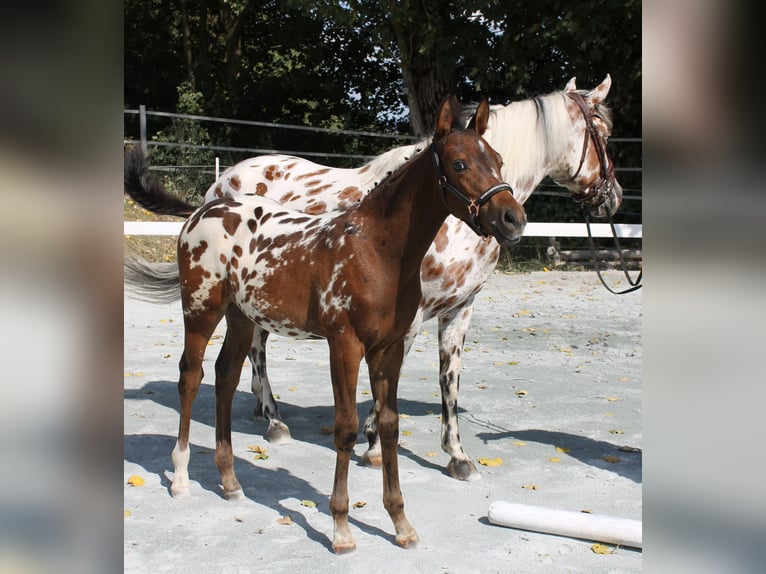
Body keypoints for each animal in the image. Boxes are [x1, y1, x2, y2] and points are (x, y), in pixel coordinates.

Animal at [121, 75, 624, 482]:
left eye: (498, 160)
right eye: (602, 134)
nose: (614, 197)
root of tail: (217, 188)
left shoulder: (460, 309)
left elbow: (449, 379)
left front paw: (457, 455)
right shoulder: (411, 315)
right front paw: (373, 444)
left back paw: (266, 412)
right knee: (255, 352)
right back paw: (273, 419)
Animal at [124, 98, 528, 552]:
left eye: (498, 160)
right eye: (459, 164)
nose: (513, 218)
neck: (376, 249)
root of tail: (203, 209)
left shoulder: (388, 348)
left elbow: (388, 425)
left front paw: (400, 523)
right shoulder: (345, 344)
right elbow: (346, 428)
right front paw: (341, 527)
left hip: (241, 317)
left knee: (225, 377)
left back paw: (229, 480)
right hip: (200, 310)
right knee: (190, 378)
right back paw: (180, 477)